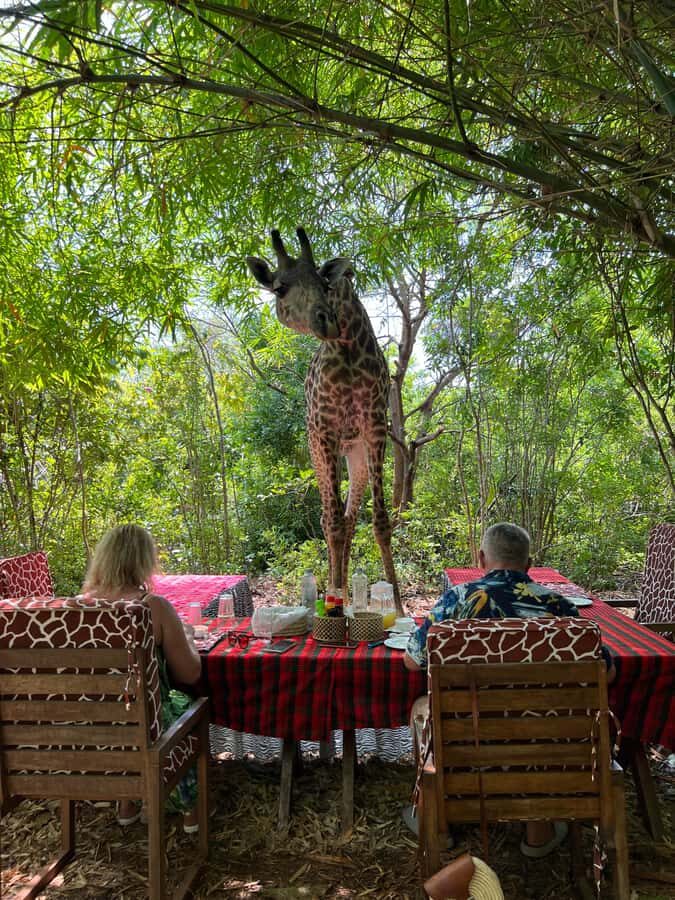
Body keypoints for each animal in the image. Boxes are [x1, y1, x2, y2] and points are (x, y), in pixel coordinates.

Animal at [247, 228, 402, 614]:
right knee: (329, 517)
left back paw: (344, 590)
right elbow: (330, 523)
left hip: (356, 457)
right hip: (317, 451)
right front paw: (334, 600)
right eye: (279, 288)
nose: (326, 320)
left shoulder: (376, 427)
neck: (347, 347)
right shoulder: (326, 430)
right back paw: (336, 591)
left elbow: (380, 521)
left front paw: (398, 607)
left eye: (323, 282)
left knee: (348, 519)